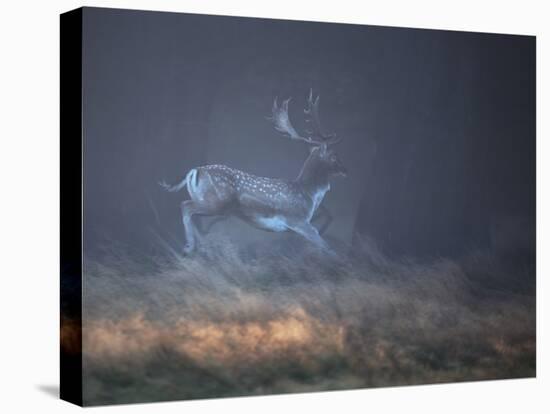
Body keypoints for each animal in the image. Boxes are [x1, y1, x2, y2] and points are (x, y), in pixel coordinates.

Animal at [160, 89, 348, 254]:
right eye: (334, 156)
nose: (346, 169)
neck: (308, 194)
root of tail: (194, 170)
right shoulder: (298, 220)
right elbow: (328, 248)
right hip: (216, 202)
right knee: (185, 206)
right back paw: (190, 247)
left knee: (189, 210)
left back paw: (201, 246)